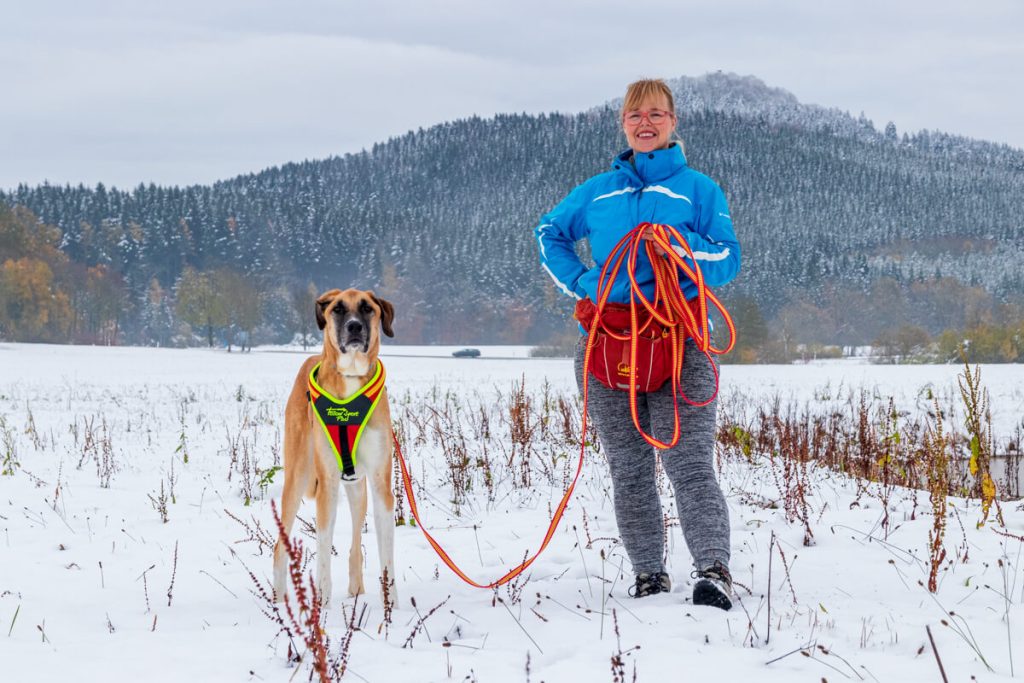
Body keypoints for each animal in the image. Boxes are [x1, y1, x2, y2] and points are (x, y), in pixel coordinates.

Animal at [272, 288, 395, 610]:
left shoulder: (380, 483)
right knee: (279, 548)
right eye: (337, 309)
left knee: (355, 544)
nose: (354, 327)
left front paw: (392, 609)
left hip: (357, 488)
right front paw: (323, 609)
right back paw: (278, 603)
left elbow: (386, 554)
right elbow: (324, 551)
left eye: (367, 308)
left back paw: (356, 587)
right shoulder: (327, 482)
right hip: (297, 477)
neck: (350, 376)